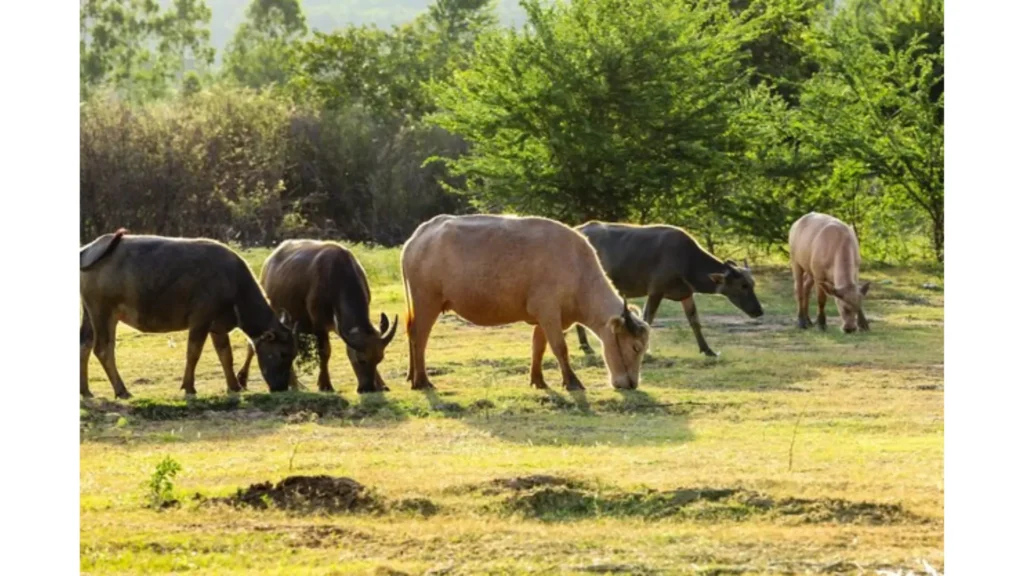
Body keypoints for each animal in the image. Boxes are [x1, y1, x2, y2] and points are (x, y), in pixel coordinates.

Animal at [79, 230, 298, 399]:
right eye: (282, 353)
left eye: (294, 354)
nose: (281, 388)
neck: (233, 284)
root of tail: (88, 250)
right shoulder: (200, 320)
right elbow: (193, 352)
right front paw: (189, 387)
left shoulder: (218, 327)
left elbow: (225, 354)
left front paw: (234, 386)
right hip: (103, 312)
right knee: (103, 349)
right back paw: (121, 390)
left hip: (89, 313)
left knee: (84, 344)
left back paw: (86, 391)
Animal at [236, 239, 399, 394]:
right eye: (361, 360)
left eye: (379, 359)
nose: (368, 388)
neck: (337, 277)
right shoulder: (319, 325)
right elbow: (325, 352)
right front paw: (325, 384)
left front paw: (382, 384)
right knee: (253, 345)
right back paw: (247, 380)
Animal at [401, 214, 651, 391]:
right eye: (635, 347)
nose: (631, 384)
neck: (577, 269)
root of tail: (419, 235)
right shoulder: (549, 313)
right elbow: (560, 348)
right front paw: (571, 381)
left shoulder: (543, 318)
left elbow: (538, 348)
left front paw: (538, 380)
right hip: (427, 302)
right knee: (419, 337)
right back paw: (422, 381)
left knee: (411, 333)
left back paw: (411, 376)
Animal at [573, 222, 764, 357]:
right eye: (743, 286)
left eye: (752, 284)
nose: (759, 311)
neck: (687, 262)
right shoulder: (655, 291)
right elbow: (647, 319)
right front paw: (646, 351)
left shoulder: (686, 294)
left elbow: (694, 320)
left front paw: (707, 350)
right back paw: (586, 346)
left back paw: (586, 346)